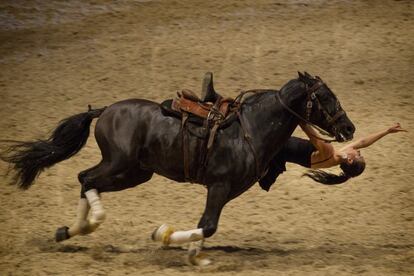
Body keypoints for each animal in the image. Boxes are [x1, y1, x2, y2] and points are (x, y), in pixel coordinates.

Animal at [0, 72, 356, 262]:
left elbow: (206, 224)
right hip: (118, 163)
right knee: (86, 178)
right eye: (326, 97)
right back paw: (86, 225)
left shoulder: (227, 190)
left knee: (89, 181)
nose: (349, 128)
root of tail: (105, 110)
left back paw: (72, 230)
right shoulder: (219, 186)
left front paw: (192, 252)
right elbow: (208, 225)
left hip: (135, 173)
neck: (251, 128)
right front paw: (166, 236)